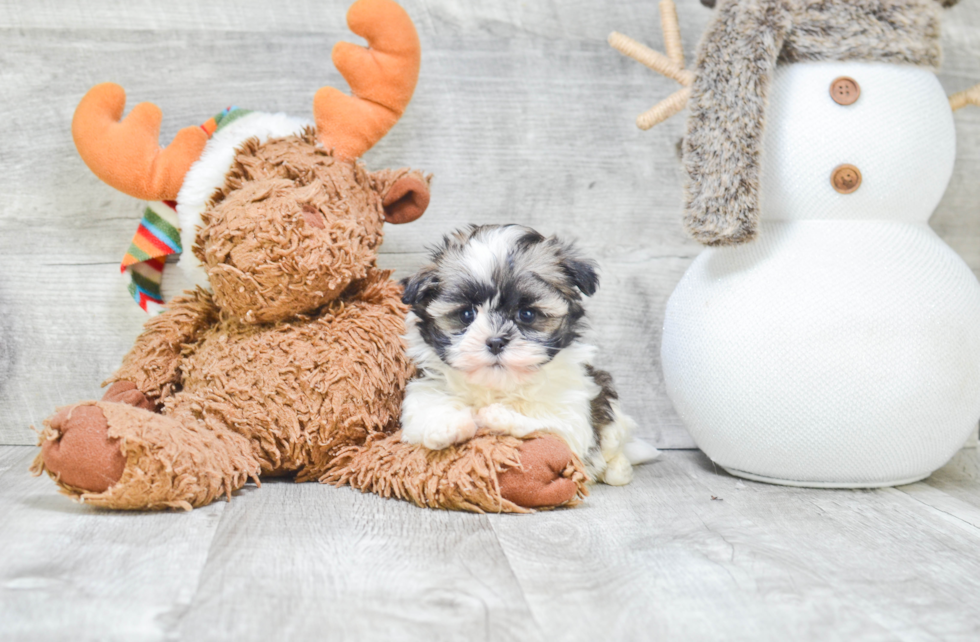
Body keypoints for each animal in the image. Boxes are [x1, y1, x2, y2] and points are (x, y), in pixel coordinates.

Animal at [398, 222, 660, 482]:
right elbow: (424, 412)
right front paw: (447, 426)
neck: (500, 386)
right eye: (466, 314)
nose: (495, 342)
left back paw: (618, 469)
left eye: (527, 314)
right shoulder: (427, 389)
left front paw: (499, 416)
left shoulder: (574, 415)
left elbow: (550, 425)